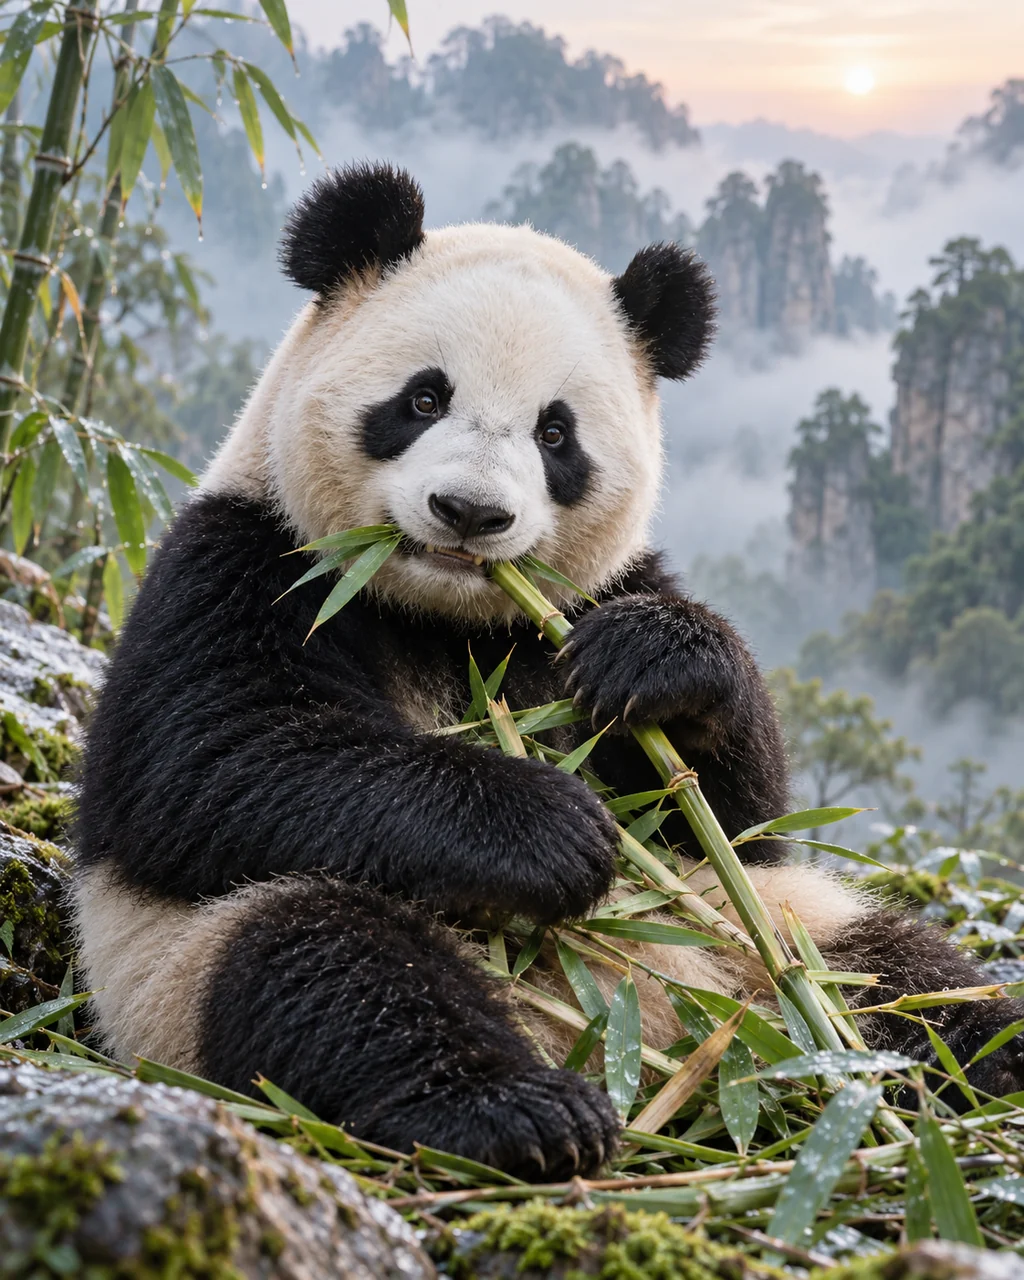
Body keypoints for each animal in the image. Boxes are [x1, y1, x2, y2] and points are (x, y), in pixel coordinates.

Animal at [73, 163, 1024, 1180]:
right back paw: (519, 1111)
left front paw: (661, 659)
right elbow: (210, 760)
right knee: (329, 968)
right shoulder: (247, 560)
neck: (443, 616)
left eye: (555, 435)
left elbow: (742, 821)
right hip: (181, 970)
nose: (470, 512)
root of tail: (650, 1050)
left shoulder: (586, 607)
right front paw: (555, 832)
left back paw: (982, 1075)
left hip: (768, 939)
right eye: (423, 399)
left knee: (905, 982)